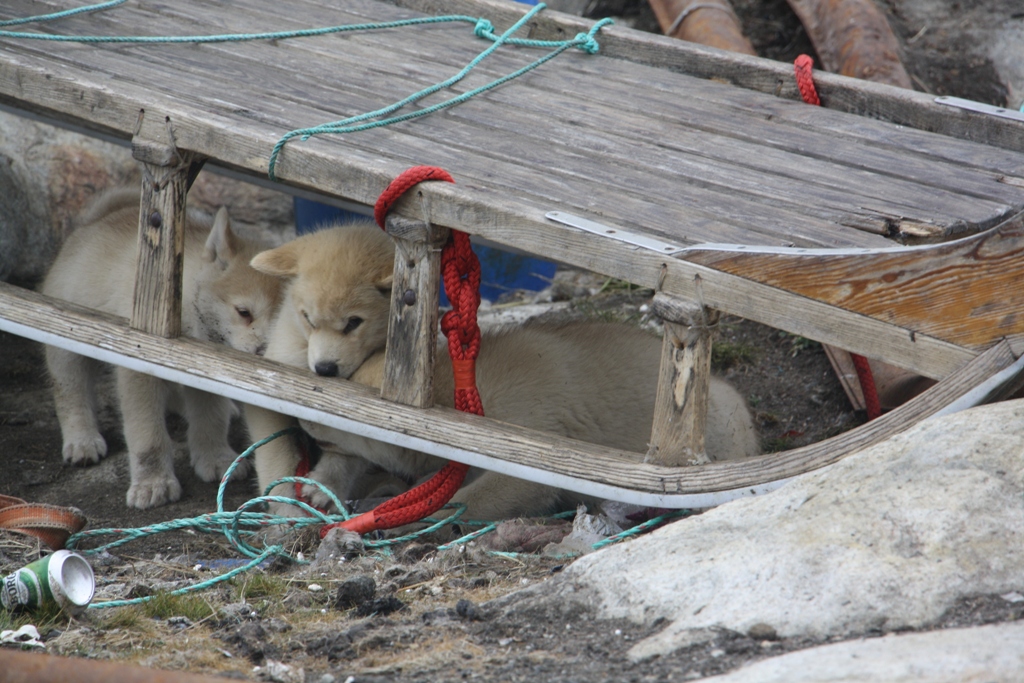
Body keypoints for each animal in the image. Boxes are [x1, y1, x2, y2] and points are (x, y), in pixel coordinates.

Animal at [41, 187, 282, 507]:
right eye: (244, 312)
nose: (264, 356)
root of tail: (93, 221)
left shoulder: (208, 377)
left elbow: (211, 418)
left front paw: (215, 458)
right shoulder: (139, 372)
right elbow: (148, 436)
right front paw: (153, 483)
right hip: (68, 351)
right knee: (71, 393)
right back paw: (81, 439)